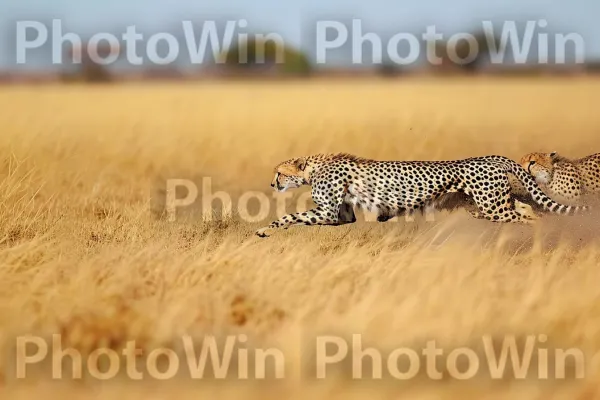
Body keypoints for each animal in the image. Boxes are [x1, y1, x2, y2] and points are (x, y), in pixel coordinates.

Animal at [253, 154, 584, 238]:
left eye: (279, 172)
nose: (271, 184)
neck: (313, 168)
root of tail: (492, 156)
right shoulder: (340, 216)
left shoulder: (327, 211)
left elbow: (291, 215)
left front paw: (265, 229)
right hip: (494, 202)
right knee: (528, 210)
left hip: (493, 207)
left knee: (525, 218)